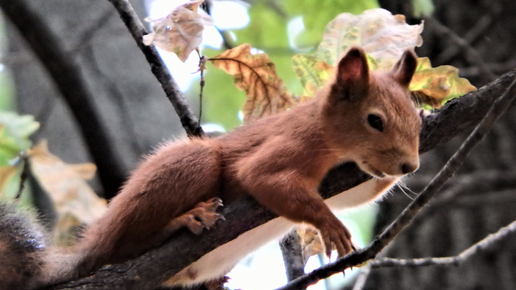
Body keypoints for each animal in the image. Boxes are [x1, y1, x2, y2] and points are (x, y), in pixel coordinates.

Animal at [0, 46, 420, 288]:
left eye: (416, 120)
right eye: (375, 120)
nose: (409, 164)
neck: (332, 140)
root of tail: (91, 249)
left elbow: (360, 194)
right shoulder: (292, 146)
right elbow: (265, 179)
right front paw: (330, 225)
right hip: (190, 167)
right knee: (127, 245)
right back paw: (184, 221)